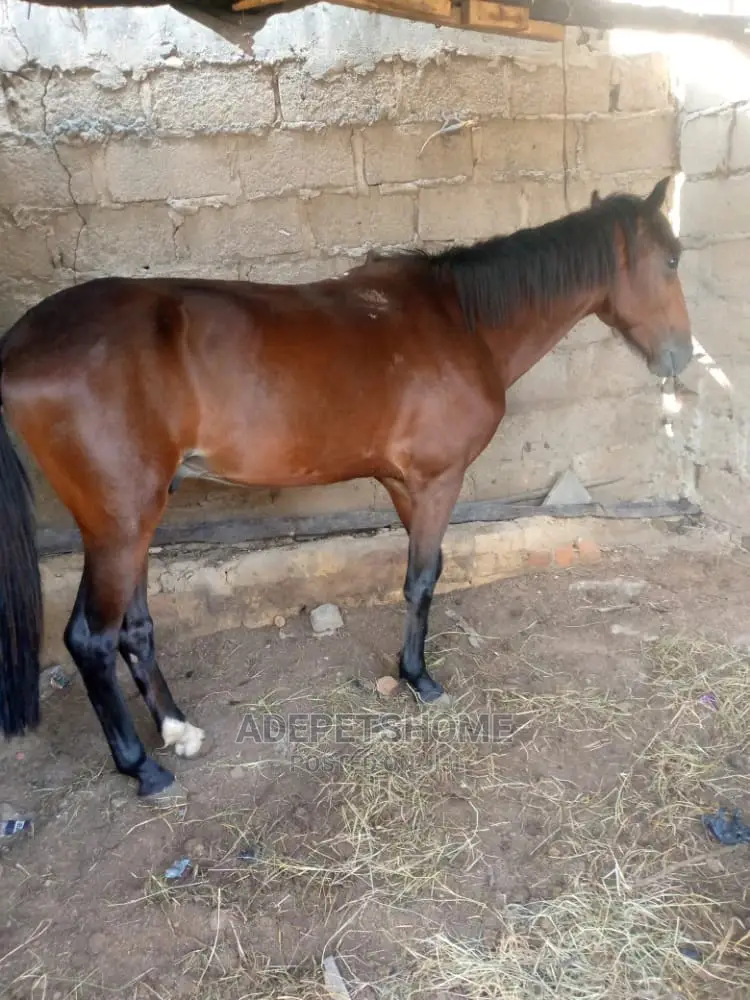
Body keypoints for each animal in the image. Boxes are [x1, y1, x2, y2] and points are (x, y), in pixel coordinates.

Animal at [0, 177, 692, 800]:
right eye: (672, 259)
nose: (682, 356)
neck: (459, 319)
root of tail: (19, 345)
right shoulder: (437, 481)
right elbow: (423, 579)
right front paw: (418, 678)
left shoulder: (402, 483)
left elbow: (415, 576)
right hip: (118, 525)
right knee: (90, 639)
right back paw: (142, 767)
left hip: (136, 520)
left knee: (135, 629)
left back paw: (177, 731)